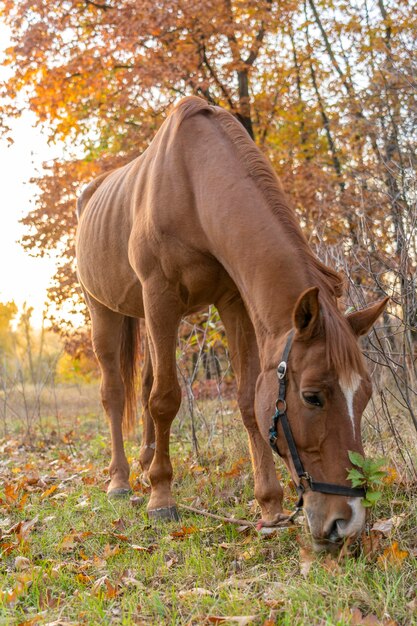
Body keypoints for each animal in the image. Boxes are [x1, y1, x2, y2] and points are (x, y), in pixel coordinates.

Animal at [75, 96, 386, 552]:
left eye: (363, 396)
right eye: (312, 397)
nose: (346, 522)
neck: (193, 183)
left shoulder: (232, 301)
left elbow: (245, 399)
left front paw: (270, 506)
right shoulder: (160, 296)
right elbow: (165, 399)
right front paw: (161, 498)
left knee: (146, 381)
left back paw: (146, 463)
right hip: (105, 311)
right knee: (114, 392)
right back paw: (121, 481)